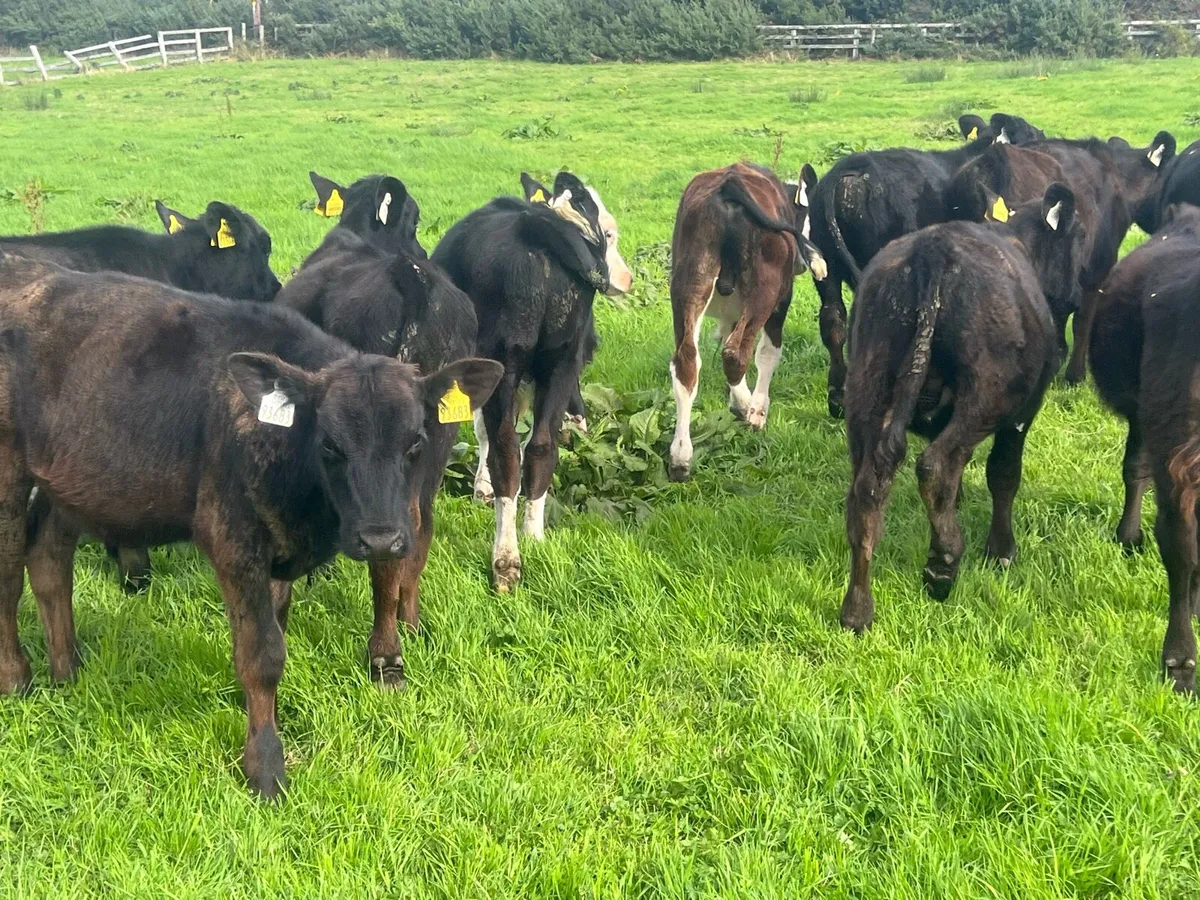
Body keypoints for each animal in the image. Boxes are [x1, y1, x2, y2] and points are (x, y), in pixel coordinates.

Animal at [433, 172, 632, 592]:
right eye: (608, 234)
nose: (627, 278)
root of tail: (536, 228)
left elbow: (484, 432)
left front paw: (481, 490)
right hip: (561, 359)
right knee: (540, 447)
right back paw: (535, 538)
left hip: (505, 361)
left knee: (507, 452)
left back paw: (506, 562)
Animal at [666, 162, 825, 481]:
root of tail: (729, 184)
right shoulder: (781, 302)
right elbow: (767, 354)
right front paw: (757, 409)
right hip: (767, 288)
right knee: (736, 352)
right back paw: (746, 407)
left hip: (689, 282)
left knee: (687, 363)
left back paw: (680, 456)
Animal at [841, 182, 1083, 634]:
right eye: (1077, 239)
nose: (1077, 292)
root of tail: (933, 250)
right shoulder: (1022, 414)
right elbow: (1003, 475)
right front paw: (1002, 549)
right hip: (987, 396)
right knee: (936, 465)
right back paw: (943, 564)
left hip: (865, 387)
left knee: (867, 490)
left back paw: (857, 609)